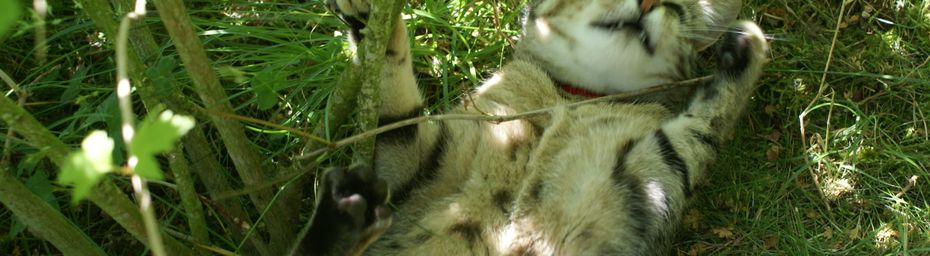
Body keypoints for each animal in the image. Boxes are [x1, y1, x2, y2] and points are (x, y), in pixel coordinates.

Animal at [300, 0, 764, 254]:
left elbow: (698, 135)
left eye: (673, 7)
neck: (567, 100)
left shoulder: (642, 185)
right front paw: (368, 21)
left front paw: (750, 54)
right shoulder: (414, 161)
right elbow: (391, 89)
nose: (649, 2)